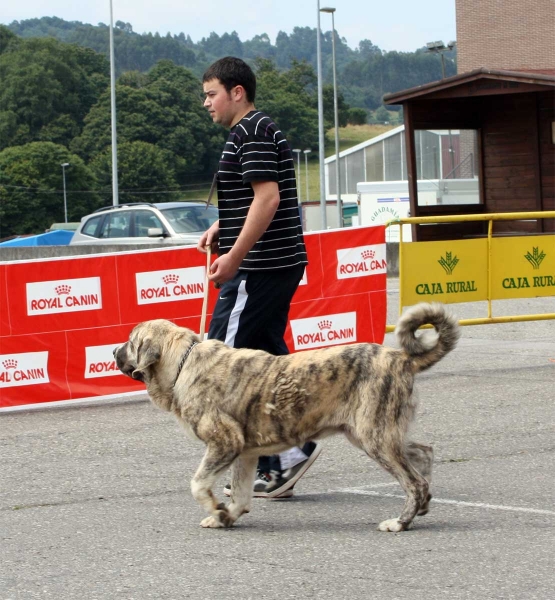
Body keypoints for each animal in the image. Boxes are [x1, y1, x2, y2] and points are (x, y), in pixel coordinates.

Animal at [114, 302, 460, 532]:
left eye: (131, 342)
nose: (114, 352)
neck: (183, 362)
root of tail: (402, 358)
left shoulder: (224, 443)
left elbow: (198, 484)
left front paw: (217, 509)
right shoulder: (244, 452)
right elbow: (240, 493)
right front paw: (227, 516)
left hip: (375, 437)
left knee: (413, 481)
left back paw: (401, 521)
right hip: (376, 433)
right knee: (423, 454)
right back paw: (424, 504)